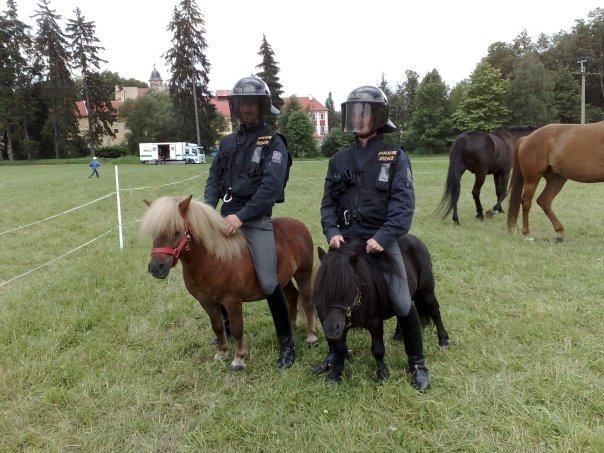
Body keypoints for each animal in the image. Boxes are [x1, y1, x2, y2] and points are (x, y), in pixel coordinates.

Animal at [141, 196, 316, 370]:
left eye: (177, 231)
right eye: (154, 233)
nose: (156, 268)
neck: (214, 260)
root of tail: (299, 224)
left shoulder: (232, 302)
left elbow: (237, 329)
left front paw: (238, 359)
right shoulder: (207, 302)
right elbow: (218, 326)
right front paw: (222, 352)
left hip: (303, 274)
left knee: (307, 301)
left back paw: (310, 337)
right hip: (283, 280)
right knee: (292, 296)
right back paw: (292, 327)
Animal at [312, 235, 448, 384]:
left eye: (350, 287)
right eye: (321, 286)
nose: (331, 328)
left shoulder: (375, 322)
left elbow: (378, 350)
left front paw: (382, 375)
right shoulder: (341, 326)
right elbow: (339, 349)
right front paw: (335, 374)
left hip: (426, 292)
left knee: (435, 312)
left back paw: (443, 341)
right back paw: (398, 336)